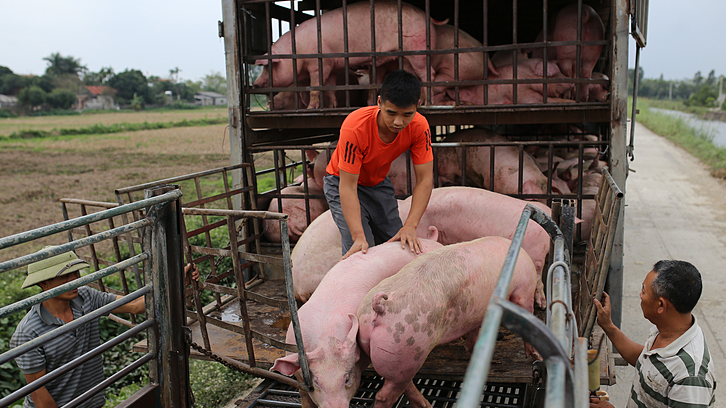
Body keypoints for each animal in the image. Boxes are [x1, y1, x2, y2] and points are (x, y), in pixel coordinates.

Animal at [358, 236, 540, 408]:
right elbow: (526, 312)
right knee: (384, 395)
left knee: (403, 385)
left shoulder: (478, 313)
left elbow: (474, 332)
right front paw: (535, 356)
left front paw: (471, 349)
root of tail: (380, 307)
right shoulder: (525, 287)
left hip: (396, 359)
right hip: (407, 348)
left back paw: (426, 404)